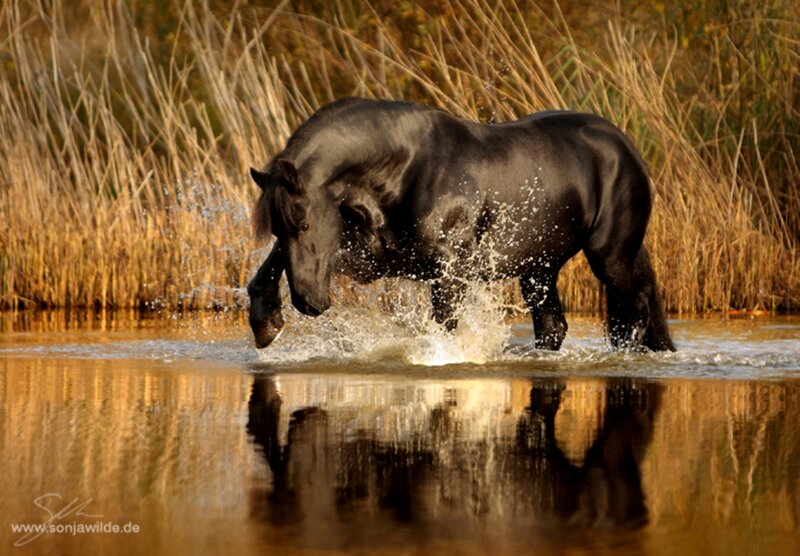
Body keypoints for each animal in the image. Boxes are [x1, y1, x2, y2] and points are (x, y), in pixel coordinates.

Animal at [247, 97, 675, 352]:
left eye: (303, 222)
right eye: (278, 228)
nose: (308, 302)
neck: (406, 168)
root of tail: (622, 145)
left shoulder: (449, 273)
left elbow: (444, 326)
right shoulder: (373, 256)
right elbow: (268, 268)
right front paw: (266, 322)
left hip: (611, 256)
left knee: (636, 304)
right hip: (539, 268)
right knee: (553, 325)